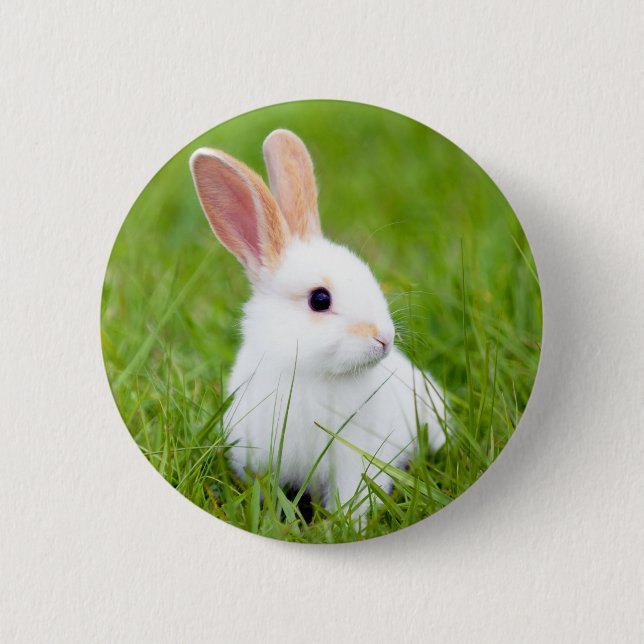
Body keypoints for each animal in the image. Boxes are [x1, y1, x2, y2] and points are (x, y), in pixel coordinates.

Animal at [190, 129, 445, 517]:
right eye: (320, 300)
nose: (384, 338)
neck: (310, 373)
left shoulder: (356, 459)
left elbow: (353, 496)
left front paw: (347, 524)